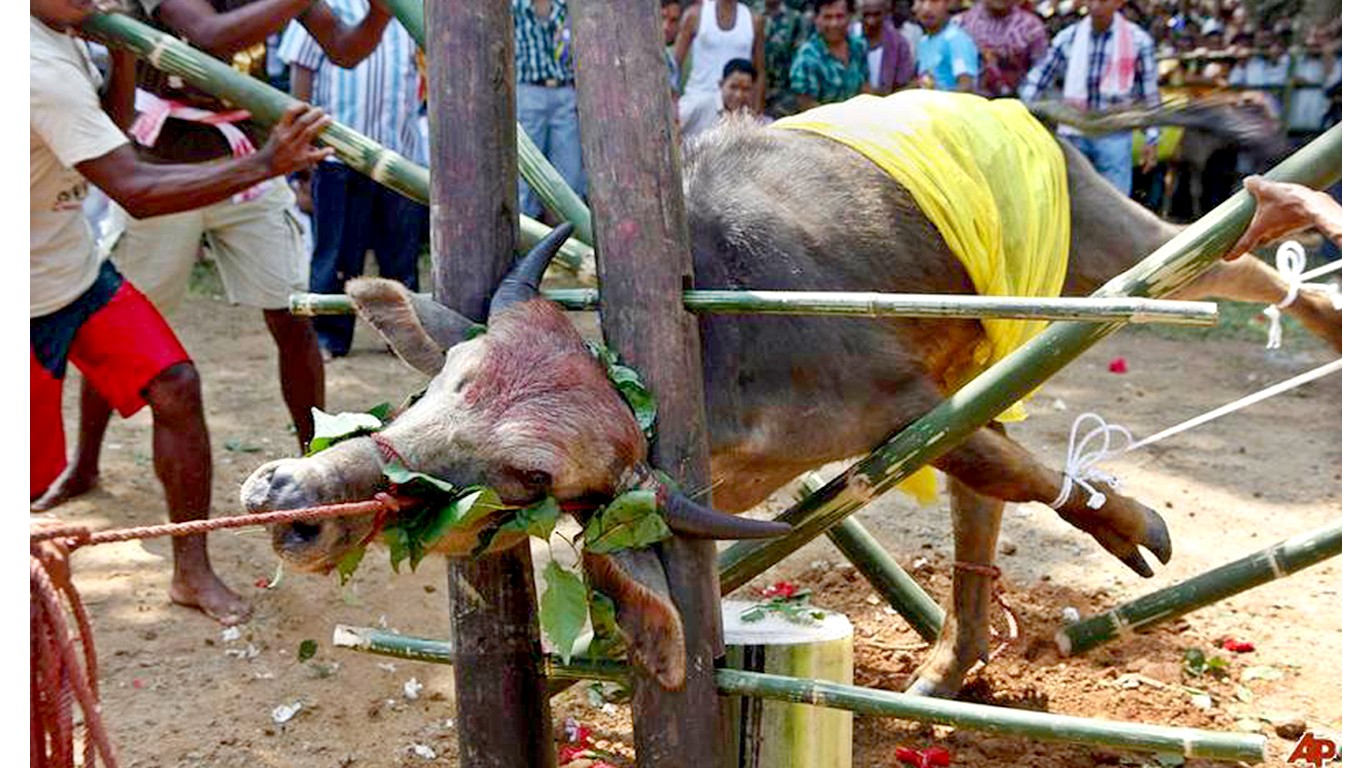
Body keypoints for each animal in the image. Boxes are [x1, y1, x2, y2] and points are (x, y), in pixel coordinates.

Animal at [240, 112, 1338, 694]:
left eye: (526, 476)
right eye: (447, 382)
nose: (290, 496)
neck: (711, 359)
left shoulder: (903, 406)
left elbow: (1012, 468)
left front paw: (1130, 523)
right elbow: (991, 474)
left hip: (1103, 246)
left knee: (1222, 255)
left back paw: (1303, 237)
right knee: (977, 519)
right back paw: (950, 664)